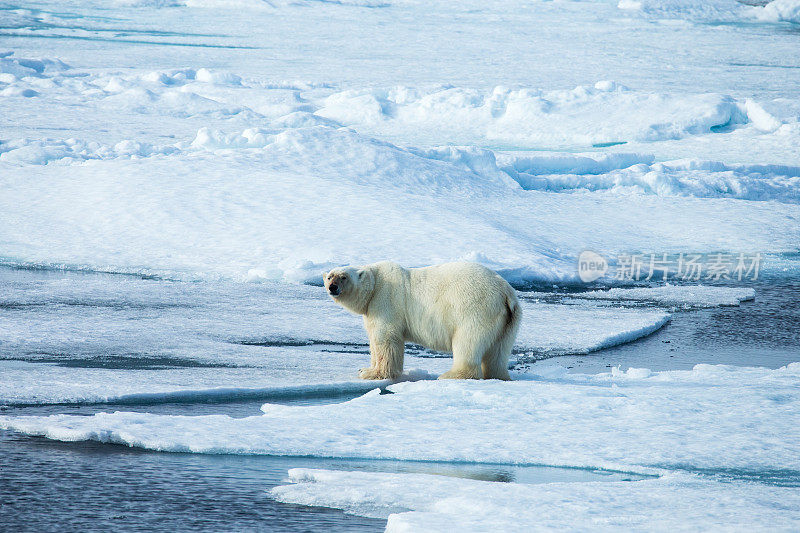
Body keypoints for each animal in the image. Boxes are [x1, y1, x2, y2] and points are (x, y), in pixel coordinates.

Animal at [324, 260, 520, 378]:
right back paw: (498, 376)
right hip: (508, 320)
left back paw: (450, 375)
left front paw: (372, 373)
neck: (376, 285)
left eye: (343, 277)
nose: (332, 287)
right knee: (499, 351)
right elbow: (373, 339)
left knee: (468, 342)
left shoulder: (386, 301)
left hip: (475, 309)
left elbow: (386, 338)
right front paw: (366, 368)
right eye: (330, 276)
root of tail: (505, 292)